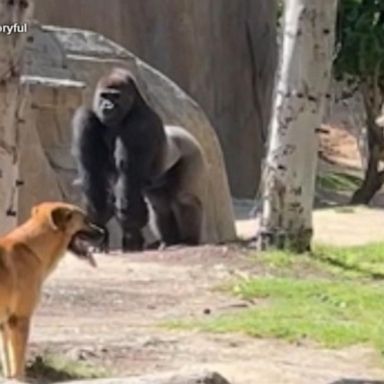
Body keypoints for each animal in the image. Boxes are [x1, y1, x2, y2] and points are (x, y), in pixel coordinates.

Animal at [0, 202, 103, 380]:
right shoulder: (19, 319)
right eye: (86, 220)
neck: (32, 248)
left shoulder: (4, 322)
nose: (103, 232)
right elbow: (17, 365)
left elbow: (6, 359)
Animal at [71, 67, 207, 250]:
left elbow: (128, 176)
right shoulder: (85, 119)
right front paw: (99, 229)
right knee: (160, 204)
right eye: (104, 96)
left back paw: (188, 240)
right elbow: (92, 175)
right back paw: (169, 240)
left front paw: (131, 234)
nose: (107, 106)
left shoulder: (140, 125)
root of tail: (182, 130)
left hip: (193, 150)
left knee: (184, 198)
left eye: (115, 96)